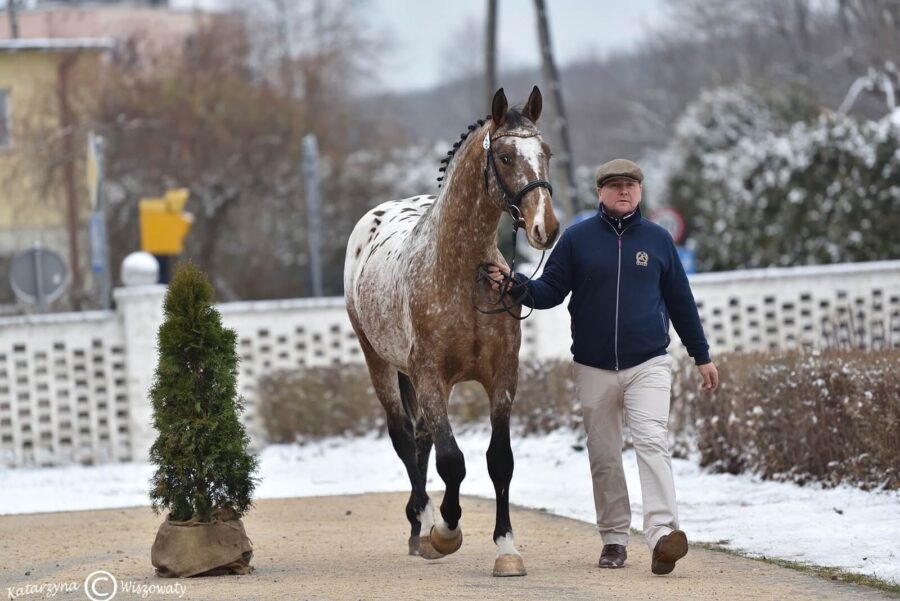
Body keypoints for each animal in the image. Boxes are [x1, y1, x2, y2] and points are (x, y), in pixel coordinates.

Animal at [342, 86, 560, 576]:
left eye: (546, 152)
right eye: (504, 156)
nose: (546, 228)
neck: (461, 272)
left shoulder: (502, 378)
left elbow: (500, 462)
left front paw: (506, 549)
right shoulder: (430, 378)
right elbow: (452, 461)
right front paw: (446, 531)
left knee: (421, 438)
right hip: (380, 364)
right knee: (406, 439)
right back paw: (422, 524)